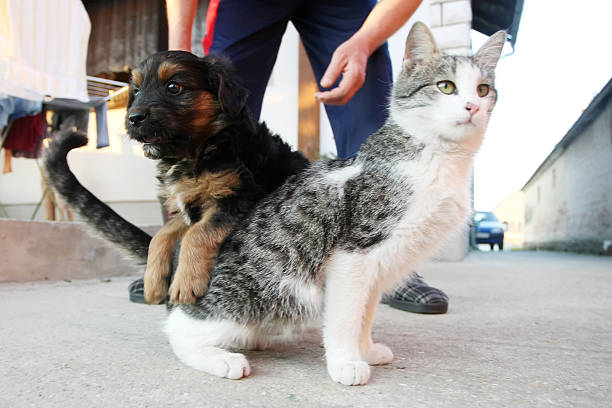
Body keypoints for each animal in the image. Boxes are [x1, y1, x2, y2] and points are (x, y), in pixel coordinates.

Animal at [43, 51, 308, 304]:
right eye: (136, 90)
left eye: (174, 86)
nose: (133, 118)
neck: (199, 150)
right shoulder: (185, 207)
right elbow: (162, 235)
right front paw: (153, 282)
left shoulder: (237, 197)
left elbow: (197, 233)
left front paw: (185, 283)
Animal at [164, 22, 506, 386]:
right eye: (446, 86)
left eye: (483, 89)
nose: (472, 107)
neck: (437, 157)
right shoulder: (353, 253)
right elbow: (345, 317)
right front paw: (346, 362)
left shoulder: (377, 267)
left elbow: (365, 312)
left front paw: (366, 349)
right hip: (255, 297)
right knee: (177, 330)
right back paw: (221, 359)